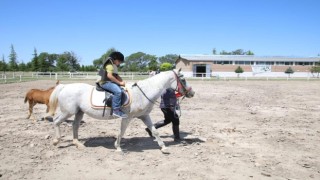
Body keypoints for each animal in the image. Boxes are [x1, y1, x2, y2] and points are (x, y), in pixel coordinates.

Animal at [46, 69, 194, 153]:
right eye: (183, 78)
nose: (192, 93)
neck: (143, 92)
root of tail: (64, 87)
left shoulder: (144, 116)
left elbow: (155, 130)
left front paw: (163, 147)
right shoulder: (127, 118)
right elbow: (121, 132)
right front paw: (118, 147)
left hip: (79, 112)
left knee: (75, 125)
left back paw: (78, 144)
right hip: (68, 112)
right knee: (56, 121)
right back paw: (56, 141)